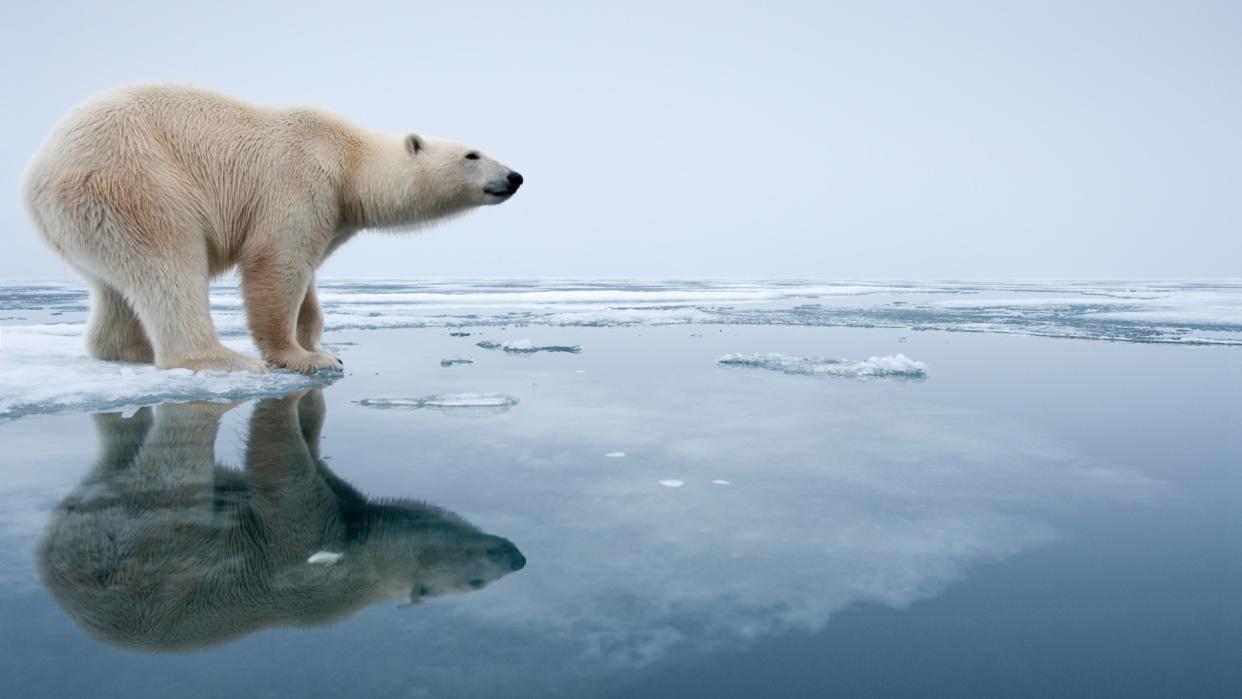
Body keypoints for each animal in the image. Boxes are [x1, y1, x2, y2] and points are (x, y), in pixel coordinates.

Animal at [24, 83, 519, 372]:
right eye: (473, 154)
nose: (515, 176)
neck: (349, 160)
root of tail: (35, 177)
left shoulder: (332, 213)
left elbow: (309, 278)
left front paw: (322, 347)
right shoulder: (301, 178)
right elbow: (276, 263)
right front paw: (301, 358)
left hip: (89, 216)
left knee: (115, 284)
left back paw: (132, 351)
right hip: (135, 180)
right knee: (168, 262)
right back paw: (222, 360)